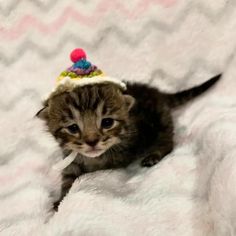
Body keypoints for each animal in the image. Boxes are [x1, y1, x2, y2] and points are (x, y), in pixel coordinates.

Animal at [37, 74, 221, 206]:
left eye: (107, 122)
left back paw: (155, 155)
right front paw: (60, 201)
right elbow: (68, 179)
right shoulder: (71, 159)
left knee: (168, 141)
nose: (92, 141)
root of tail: (156, 92)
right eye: (73, 128)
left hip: (160, 123)